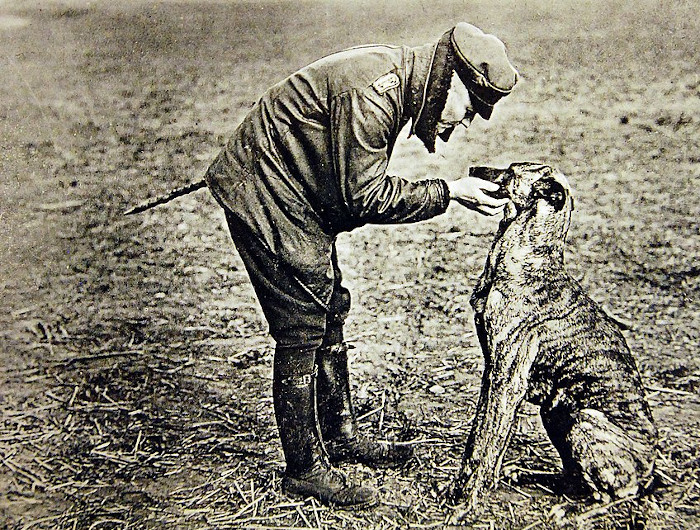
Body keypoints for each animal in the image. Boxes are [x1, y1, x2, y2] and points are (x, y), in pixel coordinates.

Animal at [448, 162, 656, 516]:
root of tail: (651, 470)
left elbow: (485, 446)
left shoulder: (507, 383)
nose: (473, 168)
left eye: (511, 170)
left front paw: (466, 500)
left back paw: (573, 511)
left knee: (614, 494)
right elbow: (478, 437)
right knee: (572, 475)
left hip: (583, 421)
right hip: (556, 414)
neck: (532, 259)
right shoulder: (493, 374)